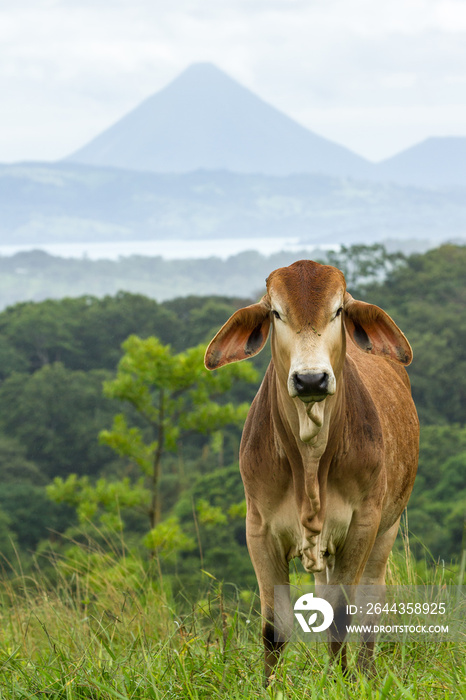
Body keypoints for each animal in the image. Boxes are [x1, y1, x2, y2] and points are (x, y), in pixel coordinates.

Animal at [204, 260, 418, 680]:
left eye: (338, 310)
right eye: (276, 312)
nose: (310, 379)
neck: (310, 461)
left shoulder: (362, 526)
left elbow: (342, 616)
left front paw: (343, 682)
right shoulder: (259, 529)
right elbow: (275, 628)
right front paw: (269, 685)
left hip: (385, 531)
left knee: (370, 607)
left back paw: (365, 672)